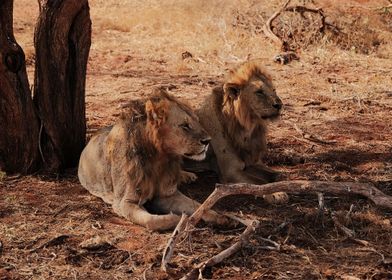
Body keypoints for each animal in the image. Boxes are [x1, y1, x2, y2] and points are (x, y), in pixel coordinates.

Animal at [78, 88, 231, 231]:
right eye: (184, 125)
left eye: (197, 121)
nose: (208, 141)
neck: (159, 158)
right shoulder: (124, 202)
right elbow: (151, 221)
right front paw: (176, 220)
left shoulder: (167, 195)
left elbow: (198, 205)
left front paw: (220, 217)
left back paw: (187, 176)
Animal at [184, 62, 288, 203]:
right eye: (259, 92)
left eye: (274, 90)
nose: (279, 105)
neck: (248, 128)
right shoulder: (231, 171)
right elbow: (259, 183)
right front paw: (277, 193)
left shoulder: (252, 162)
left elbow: (279, 174)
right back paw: (187, 176)